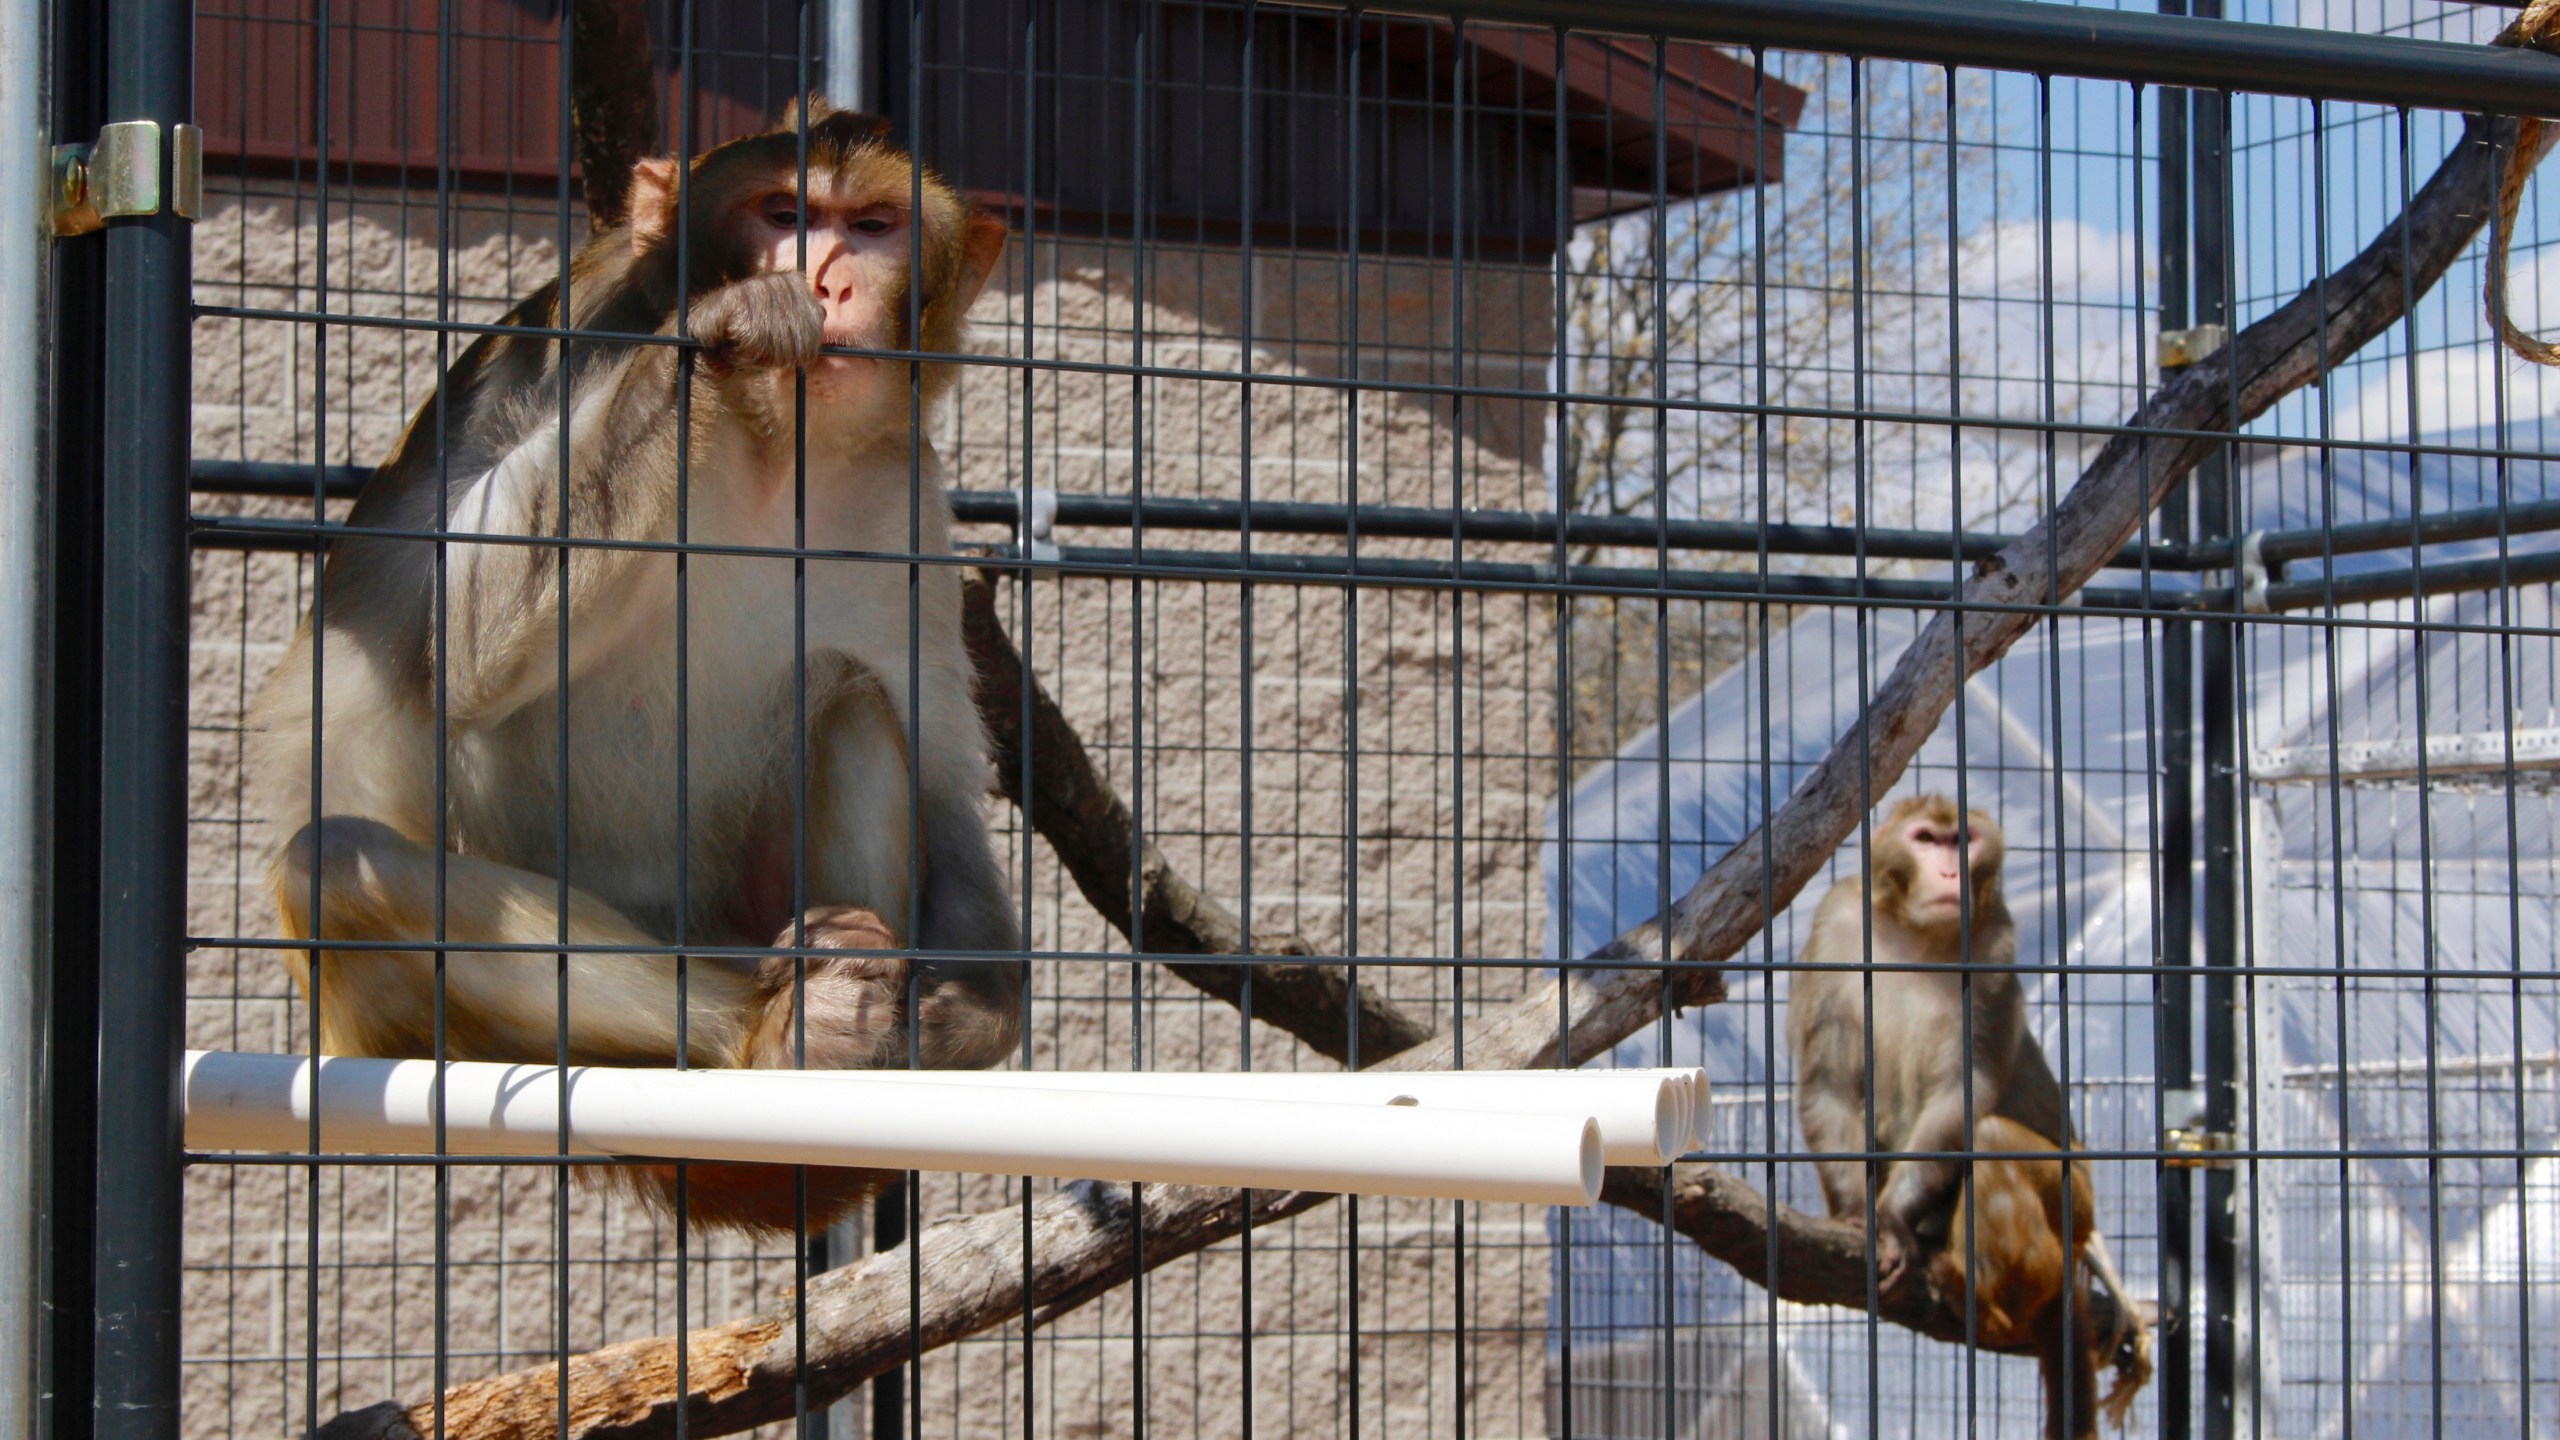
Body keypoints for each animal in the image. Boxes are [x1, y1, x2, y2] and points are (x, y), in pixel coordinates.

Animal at [244, 98, 1024, 1235]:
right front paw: (730, 328)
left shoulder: (906, 498)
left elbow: (940, 772)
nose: (827, 280)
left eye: (874, 226)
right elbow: (457, 641)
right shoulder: (566, 341)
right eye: (784, 213)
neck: (771, 447)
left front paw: (971, 1014)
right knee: (340, 865)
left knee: (851, 702)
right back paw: (776, 1037)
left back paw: (843, 1038)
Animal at [1792, 794, 2150, 1434]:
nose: (1950, 872)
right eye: (1927, 839)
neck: (1916, 933)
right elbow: (1829, 1083)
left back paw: (1985, 1294)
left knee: (1990, 1140)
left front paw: (1893, 1222)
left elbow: (1964, 1093)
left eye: (1964, 840)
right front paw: (1861, 1215)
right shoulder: (1836, 924)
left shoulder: (1994, 946)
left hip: (2075, 1207)